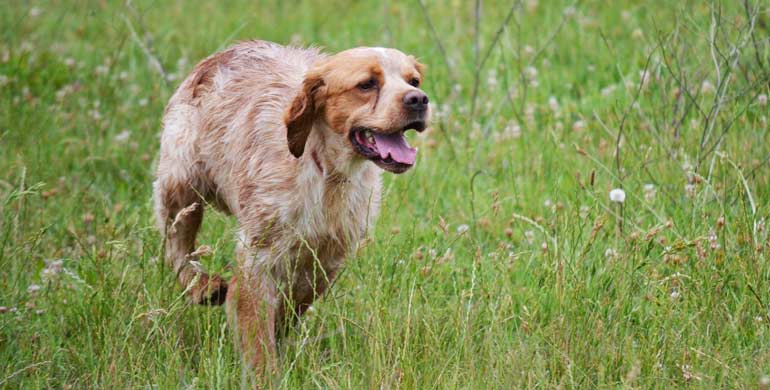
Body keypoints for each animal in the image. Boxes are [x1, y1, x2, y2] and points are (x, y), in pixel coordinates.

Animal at [150, 41, 426, 380]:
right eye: (367, 84)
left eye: (414, 81)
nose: (419, 99)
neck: (326, 171)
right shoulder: (258, 254)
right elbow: (257, 330)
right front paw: (264, 373)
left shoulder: (329, 255)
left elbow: (294, 303)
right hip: (180, 184)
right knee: (177, 244)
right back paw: (203, 286)